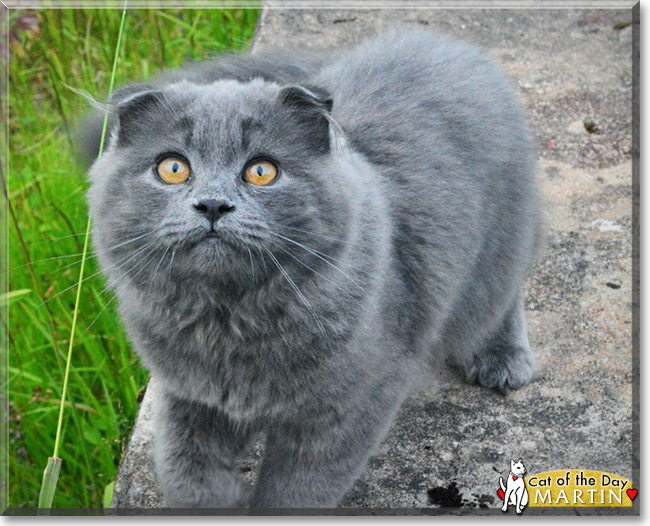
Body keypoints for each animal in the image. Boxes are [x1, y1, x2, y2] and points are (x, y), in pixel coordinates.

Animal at [83, 29, 544, 512]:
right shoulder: (190, 398)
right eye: (173, 168)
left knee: (501, 297)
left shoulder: (348, 407)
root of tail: (439, 40)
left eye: (261, 171)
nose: (212, 204)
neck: (227, 323)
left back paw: (503, 360)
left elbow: (296, 489)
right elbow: (185, 473)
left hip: (494, 253)